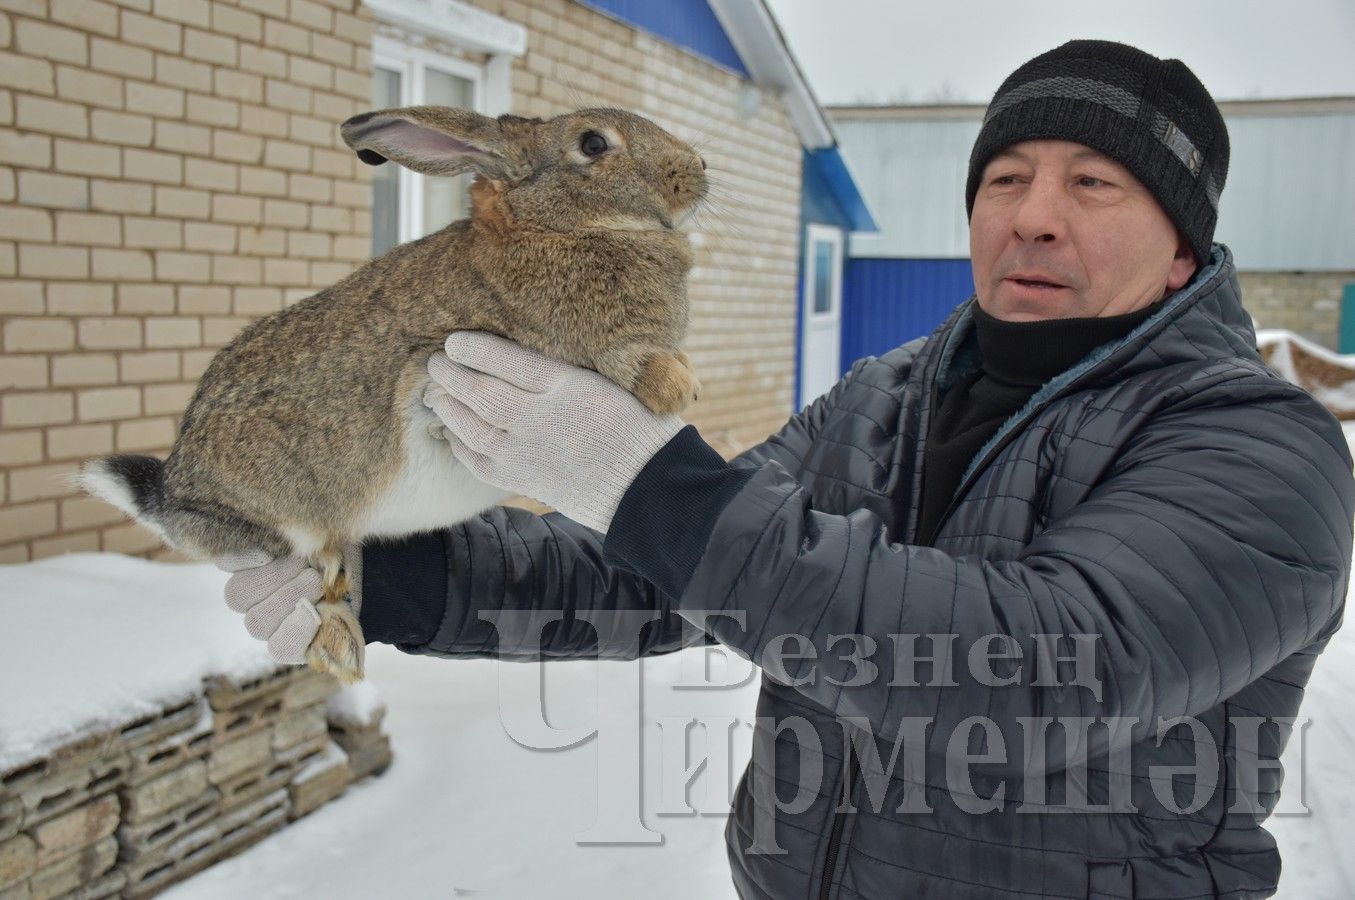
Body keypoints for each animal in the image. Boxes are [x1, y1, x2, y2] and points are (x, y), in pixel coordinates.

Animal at [79, 105, 710, 683]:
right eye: (594, 143)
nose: (699, 169)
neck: (556, 225)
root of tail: (169, 496)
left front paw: (687, 376)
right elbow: (629, 364)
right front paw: (674, 387)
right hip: (283, 515)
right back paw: (337, 650)